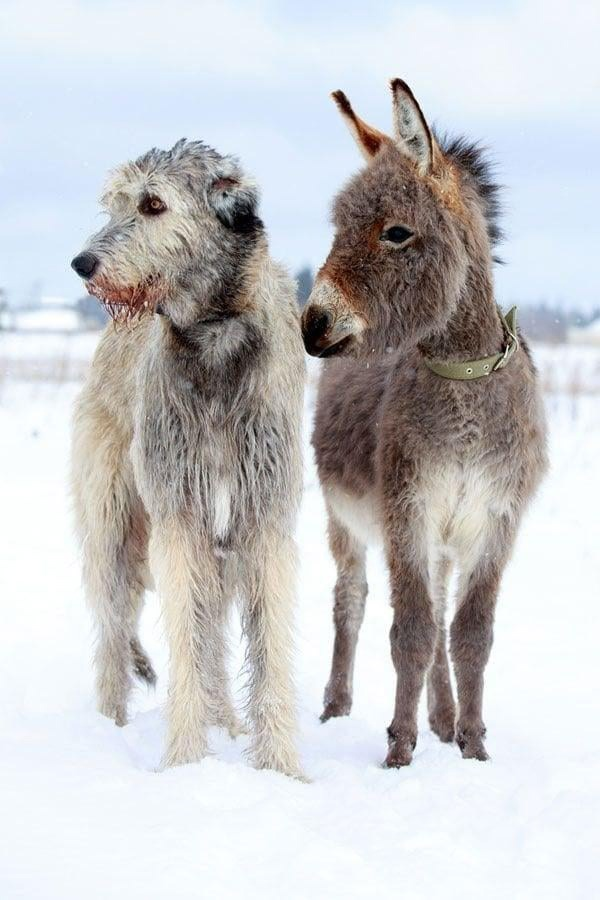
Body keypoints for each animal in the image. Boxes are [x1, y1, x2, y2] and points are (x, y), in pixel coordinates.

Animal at [70, 141, 304, 780]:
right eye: (115, 203)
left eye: (154, 204)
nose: (82, 264)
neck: (213, 335)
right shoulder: (177, 517)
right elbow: (185, 640)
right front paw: (184, 764)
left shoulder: (264, 519)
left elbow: (268, 646)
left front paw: (281, 768)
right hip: (113, 523)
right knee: (114, 629)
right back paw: (108, 726)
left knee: (213, 631)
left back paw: (227, 722)